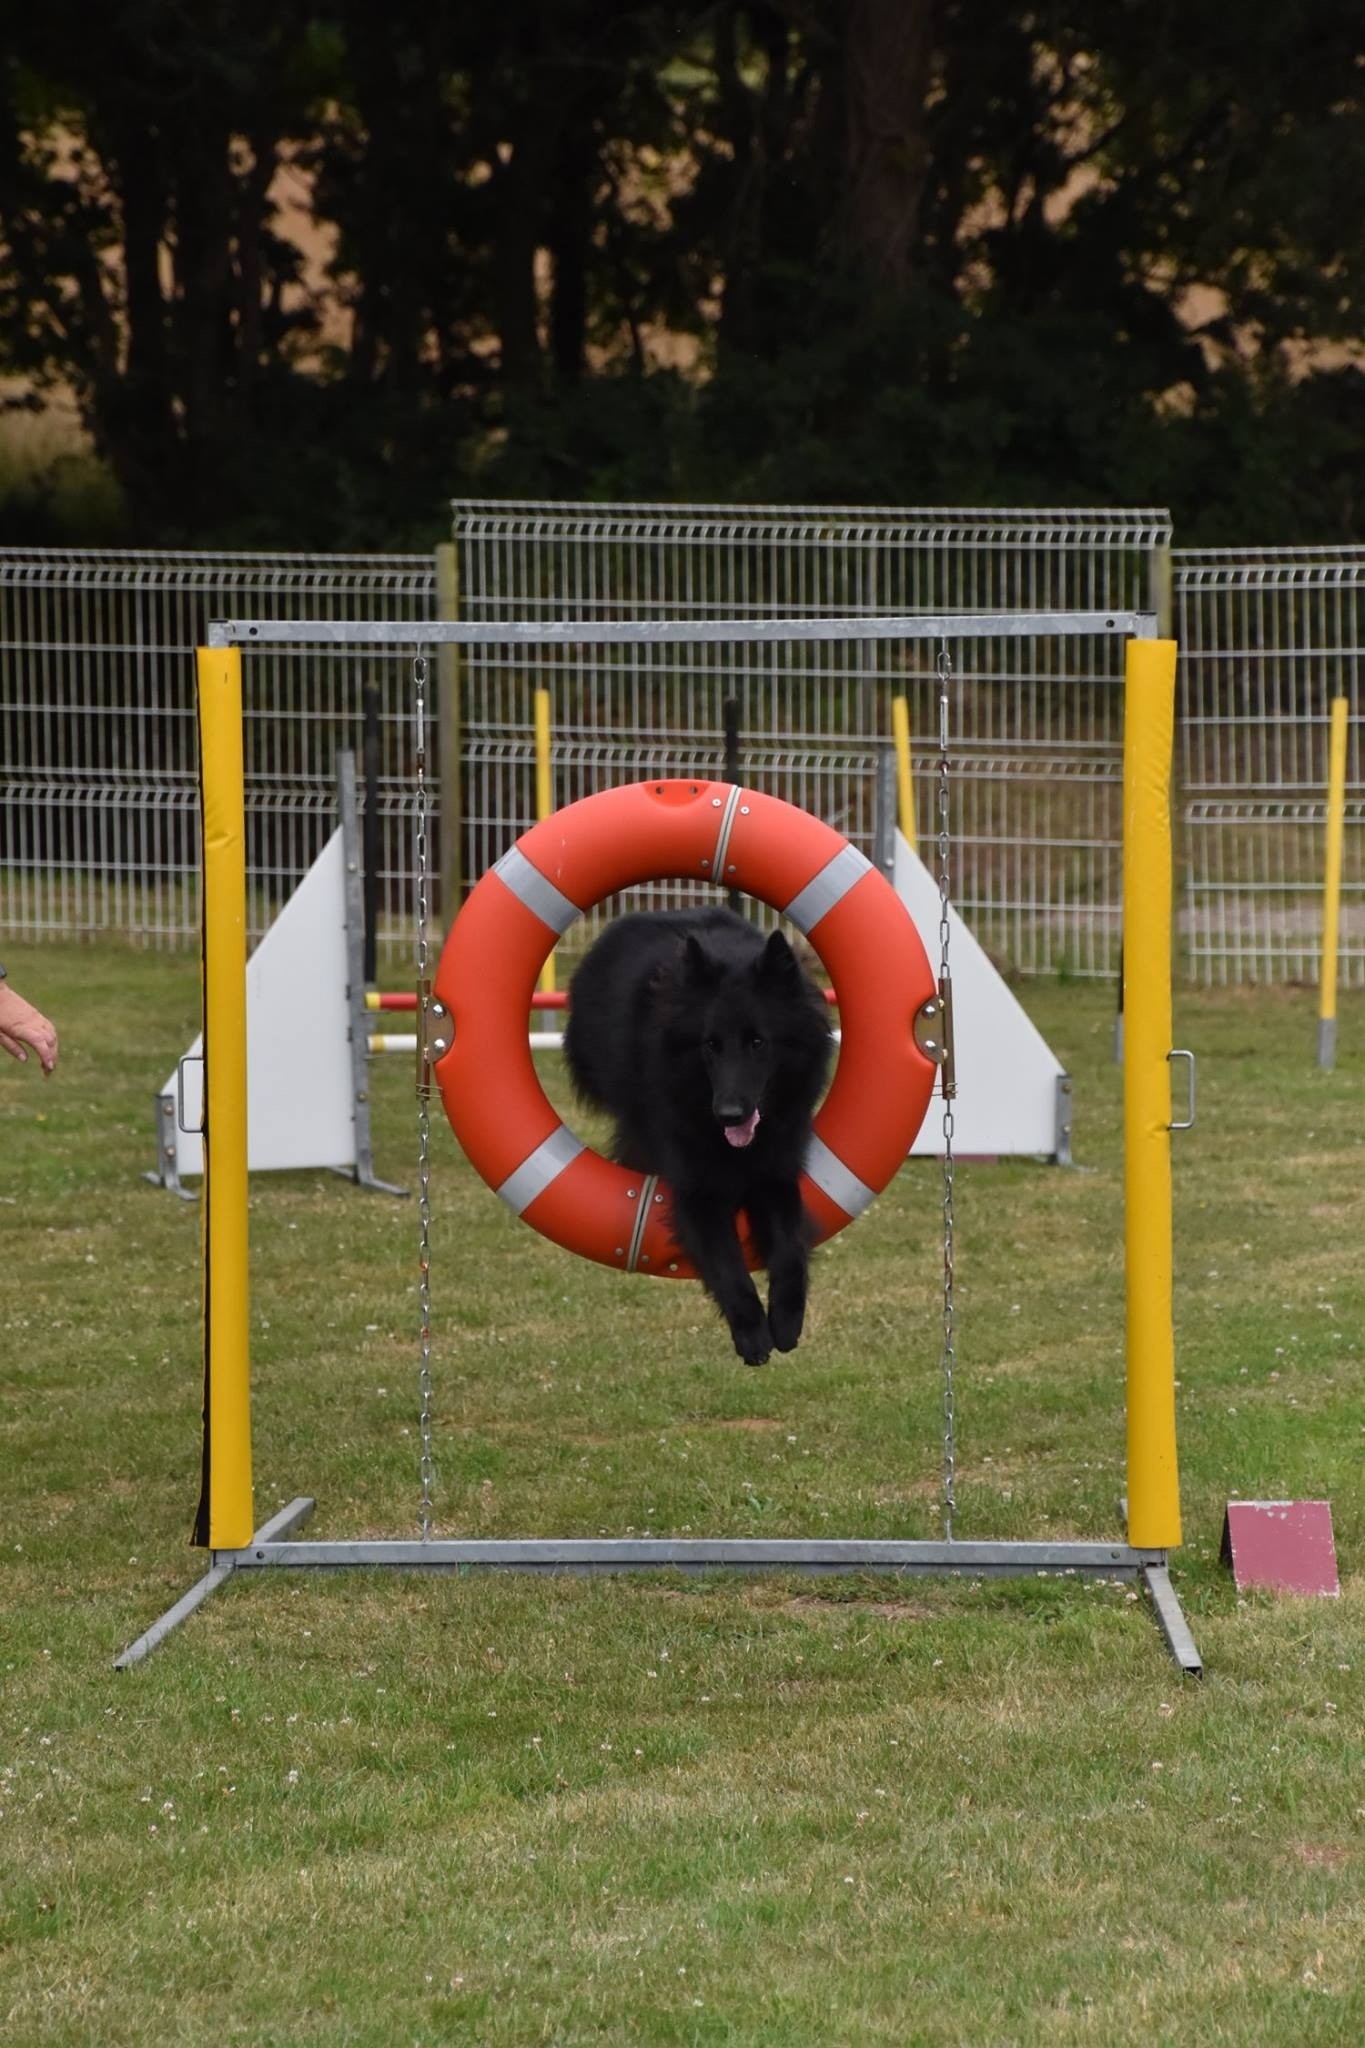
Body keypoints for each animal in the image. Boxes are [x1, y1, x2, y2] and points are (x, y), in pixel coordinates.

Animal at [564, 909, 834, 1359]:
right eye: (711, 1044)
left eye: (758, 1042)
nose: (728, 1115)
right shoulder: (697, 1192)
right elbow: (728, 1267)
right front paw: (752, 1333)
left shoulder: (776, 1175)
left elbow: (789, 1252)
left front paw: (785, 1321)